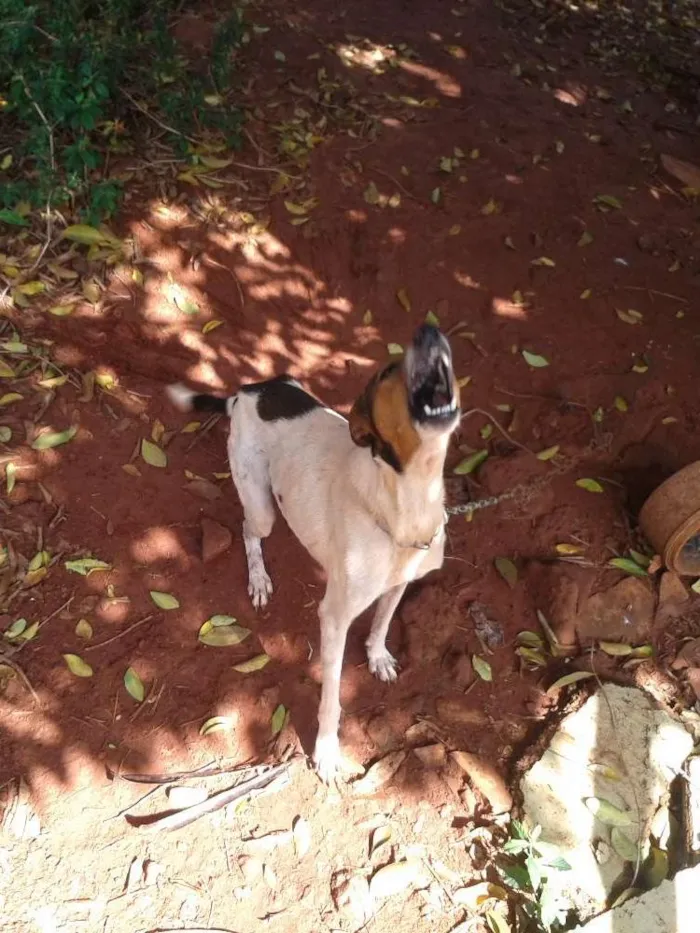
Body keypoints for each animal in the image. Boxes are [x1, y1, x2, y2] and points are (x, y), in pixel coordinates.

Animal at [167, 324, 462, 784]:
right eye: (386, 373)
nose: (427, 331)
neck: (405, 500)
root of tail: (247, 391)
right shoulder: (335, 617)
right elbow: (332, 698)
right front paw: (326, 751)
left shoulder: (401, 581)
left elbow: (382, 621)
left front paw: (377, 656)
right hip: (261, 507)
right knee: (249, 531)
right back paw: (258, 578)